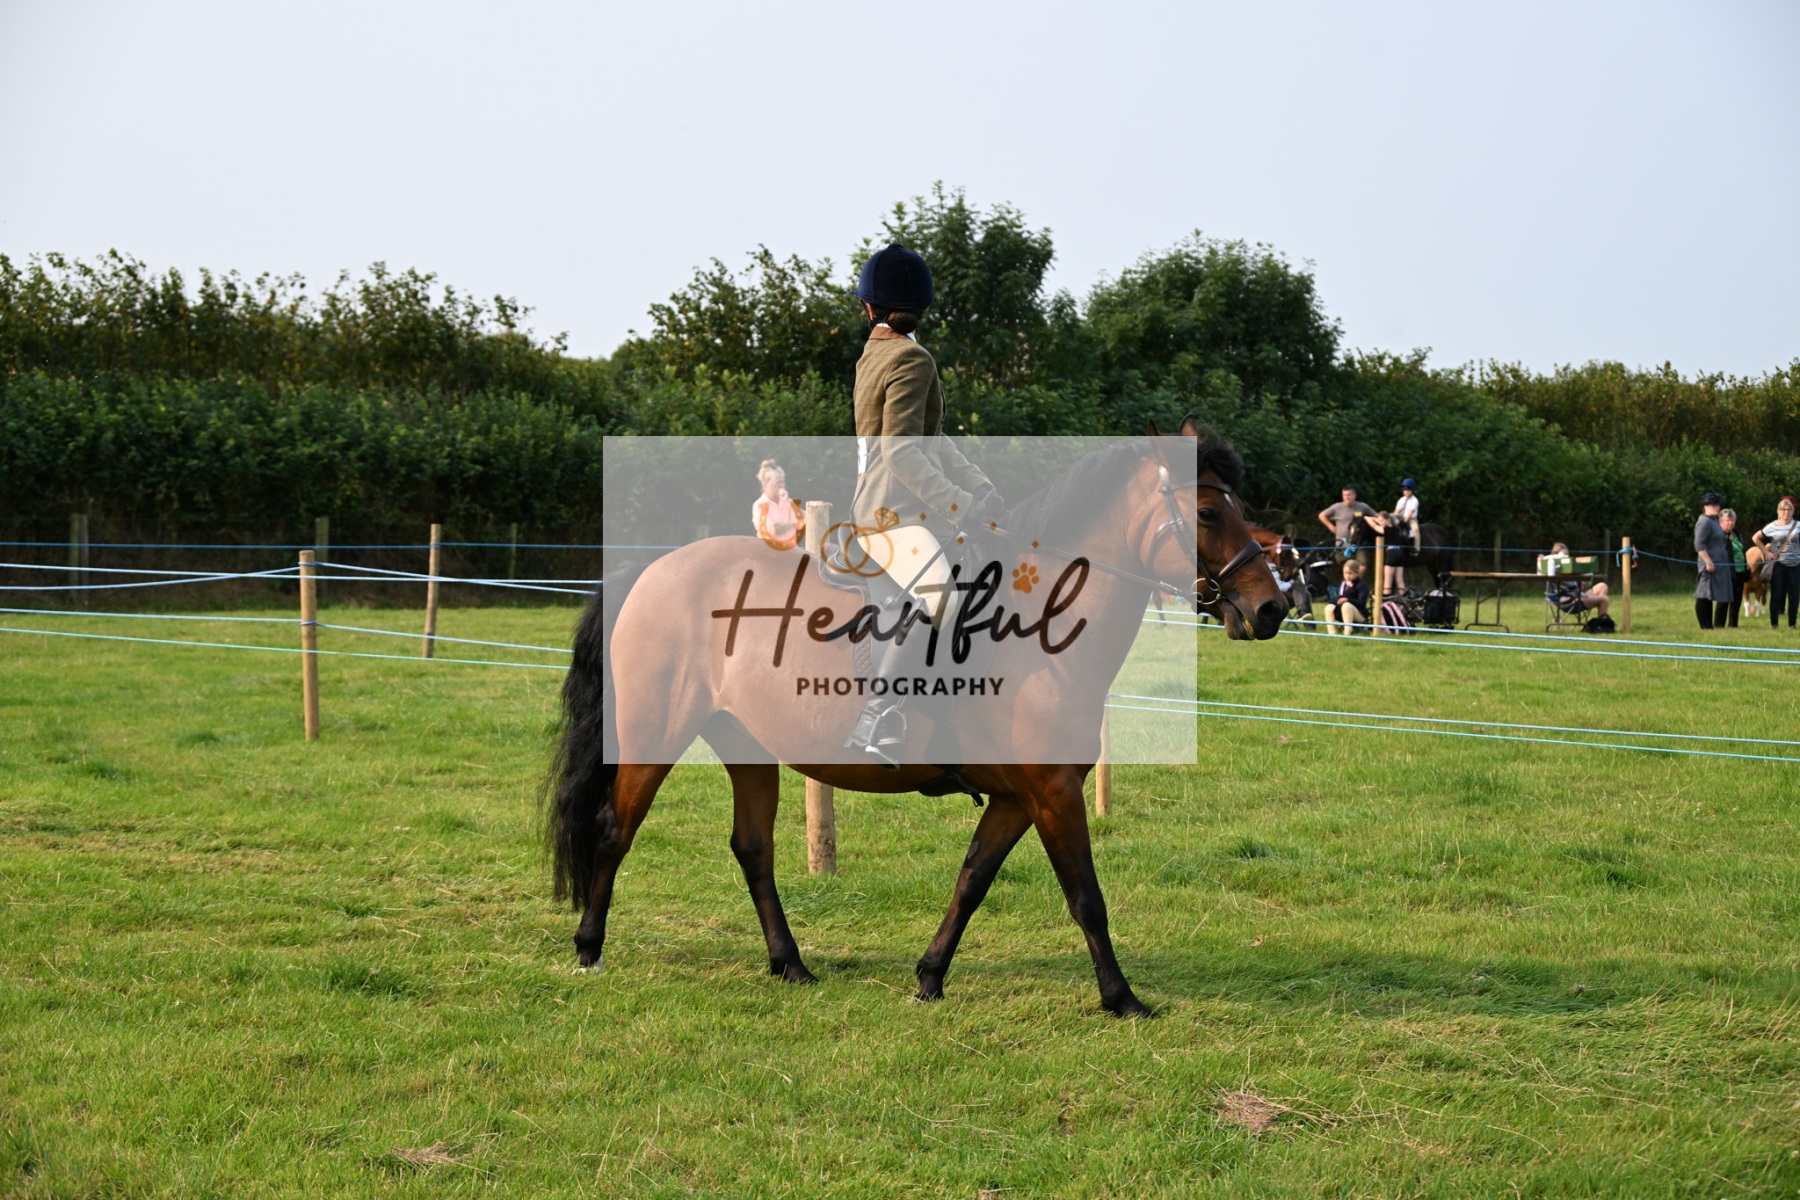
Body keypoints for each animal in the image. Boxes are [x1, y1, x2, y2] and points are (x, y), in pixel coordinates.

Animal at [545, 417, 1286, 1017]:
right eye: (1208, 512)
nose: (1272, 608)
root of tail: (651, 571)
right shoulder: (1054, 791)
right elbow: (1087, 898)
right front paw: (1122, 998)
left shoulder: (1018, 797)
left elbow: (972, 881)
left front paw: (930, 977)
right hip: (654, 737)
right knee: (614, 829)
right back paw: (589, 949)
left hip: (747, 746)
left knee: (752, 849)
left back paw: (790, 965)